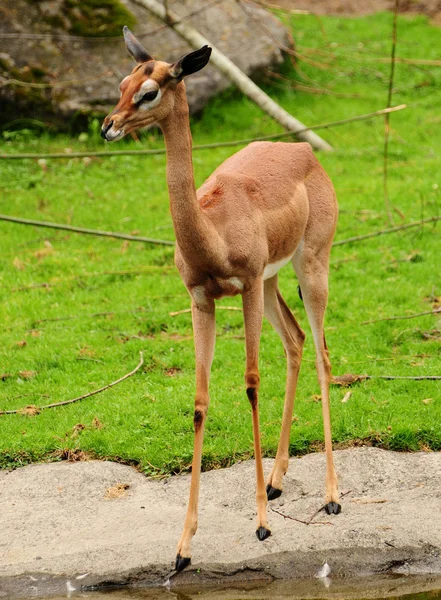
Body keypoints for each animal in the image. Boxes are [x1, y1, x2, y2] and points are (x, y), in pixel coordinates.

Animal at [102, 28, 340, 572]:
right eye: (123, 82)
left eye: (150, 91)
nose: (108, 125)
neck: (212, 232)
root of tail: (303, 150)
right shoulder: (201, 300)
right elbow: (199, 401)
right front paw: (183, 546)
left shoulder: (245, 286)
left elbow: (251, 383)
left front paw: (262, 526)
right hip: (273, 285)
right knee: (296, 342)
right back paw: (275, 481)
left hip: (310, 267)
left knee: (320, 353)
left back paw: (332, 496)